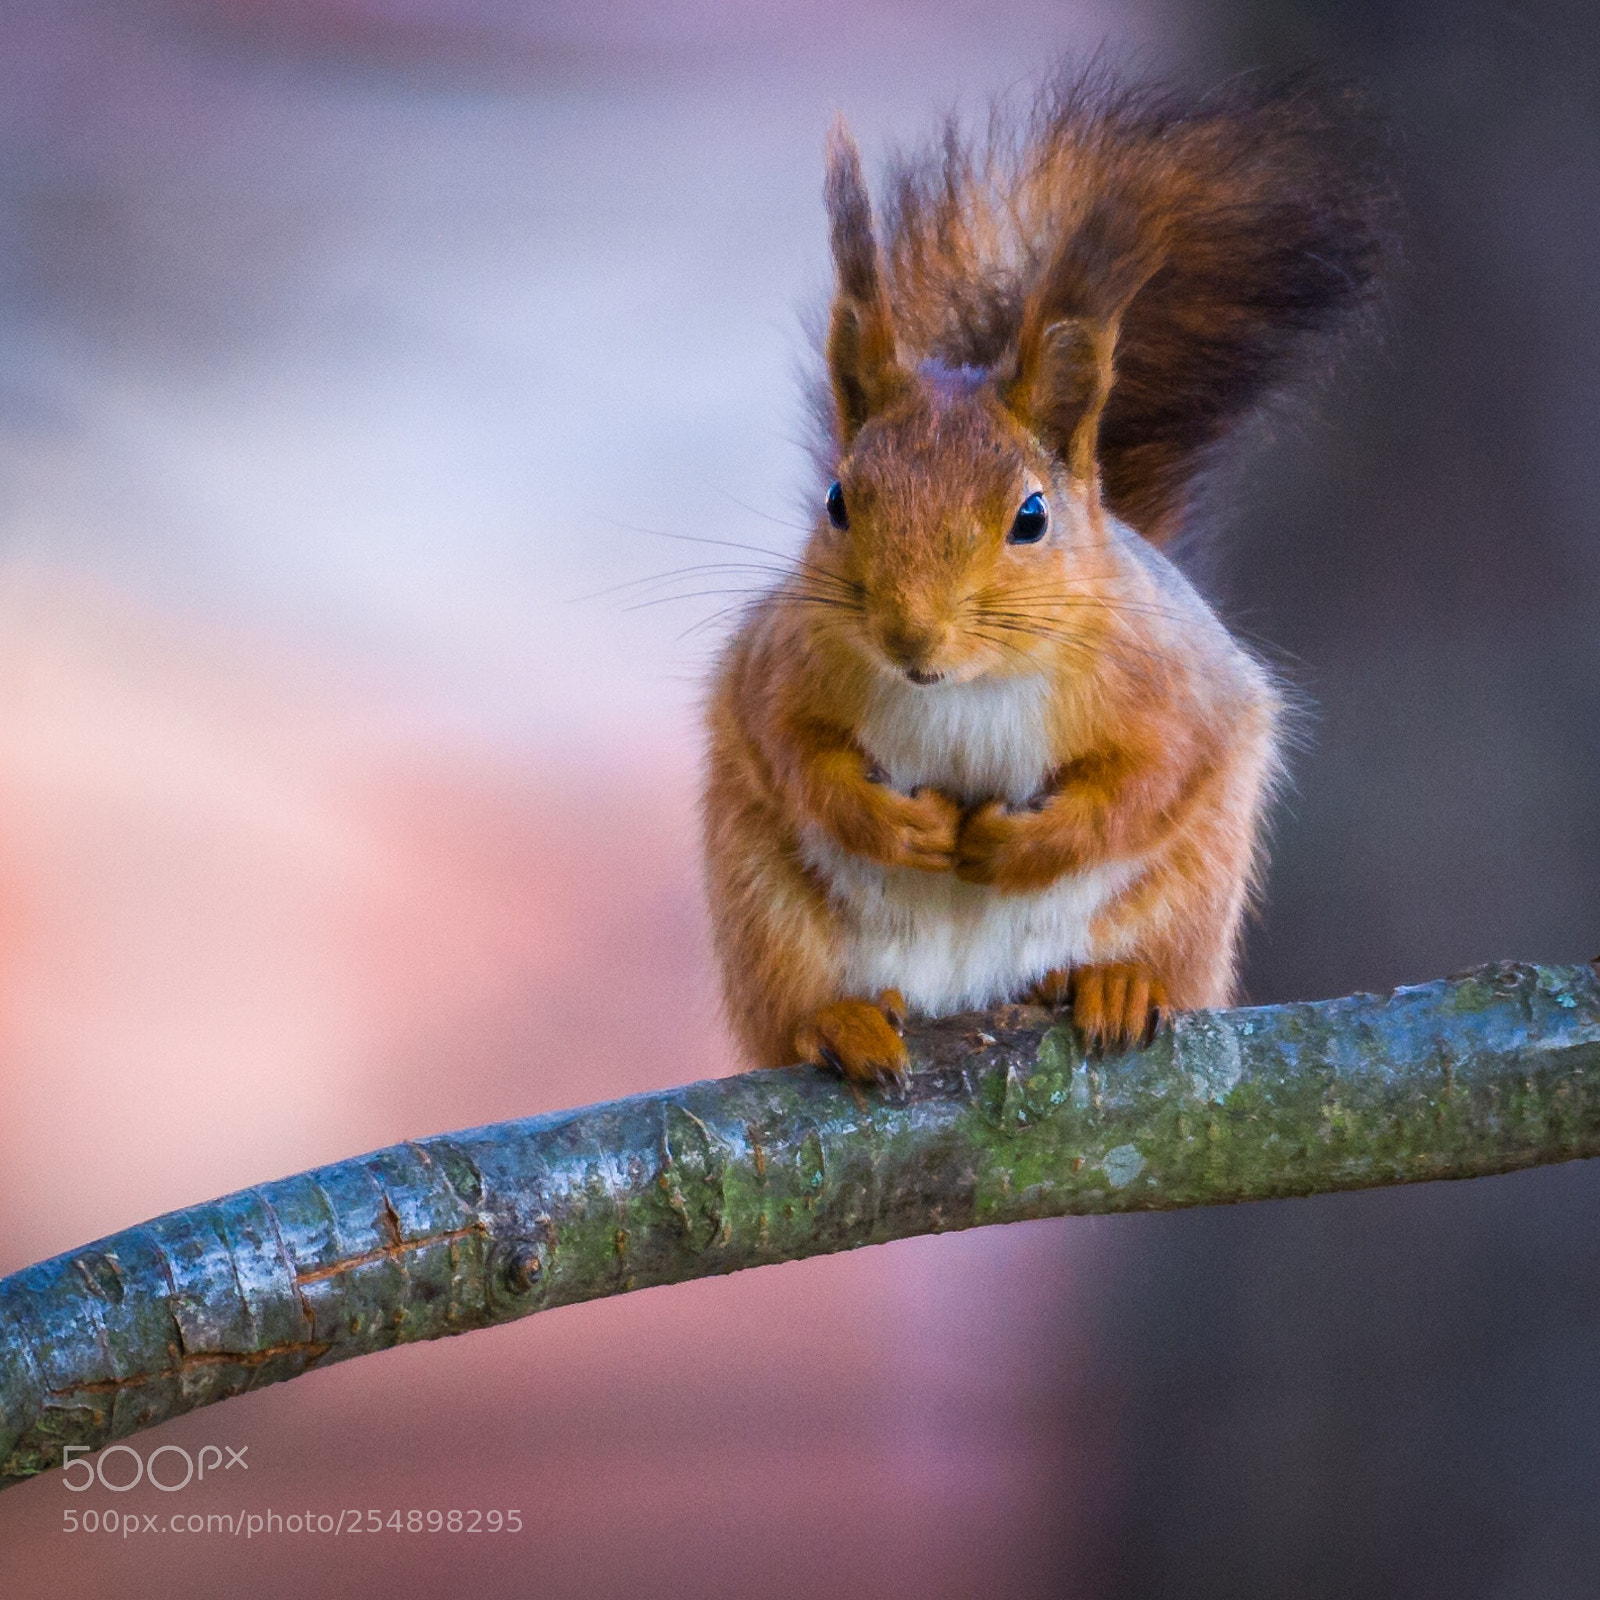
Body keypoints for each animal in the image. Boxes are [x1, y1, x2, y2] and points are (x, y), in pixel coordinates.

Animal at [702, 71, 1390, 1083]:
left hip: (1186, 900)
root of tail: (961, 993)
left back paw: (1116, 985)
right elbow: (790, 748)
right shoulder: (777, 663)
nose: (911, 636)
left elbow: (1149, 779)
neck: (967, 686)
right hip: (766, 909)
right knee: (792, 1005)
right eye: (837, 500)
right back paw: (842, 1022)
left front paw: (1015, 842)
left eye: (1032, 517)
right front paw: (897, 826)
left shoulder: (1174, 684)